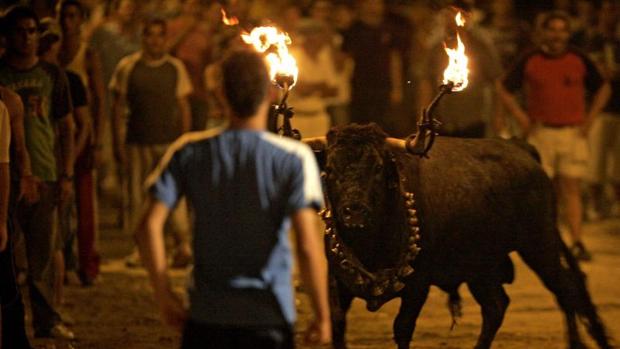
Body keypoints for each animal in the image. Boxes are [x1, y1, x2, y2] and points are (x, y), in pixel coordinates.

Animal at [304, 123, 612, 348]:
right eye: (329, 169)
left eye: (378, 168)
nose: (354, 211)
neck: (371, 244)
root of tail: (519, 148)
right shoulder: (337, 282)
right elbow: (338, 323)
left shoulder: (418, 286)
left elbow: (402, 328)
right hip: (482, 267)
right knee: (496, 306)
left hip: (540, 245)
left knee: (566, 289)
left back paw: (575, 342)